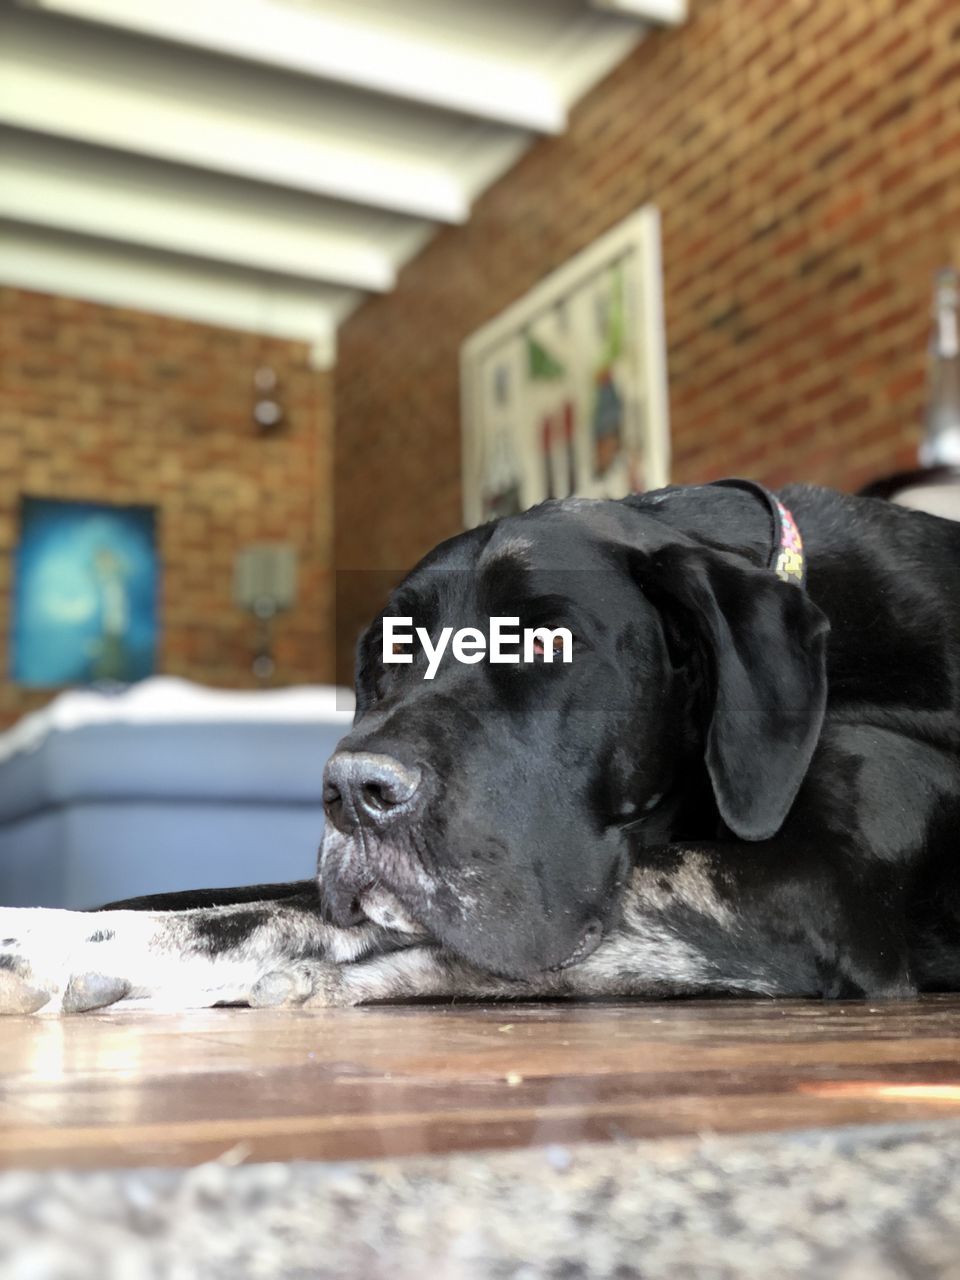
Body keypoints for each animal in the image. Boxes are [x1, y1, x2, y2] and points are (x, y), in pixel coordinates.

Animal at [1, 481, 960, 1008]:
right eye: (391, 653)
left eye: (545, 643)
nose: (352, 792)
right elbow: (234, 896)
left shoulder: (808, 886)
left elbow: (267, 916)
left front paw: (59, 948)